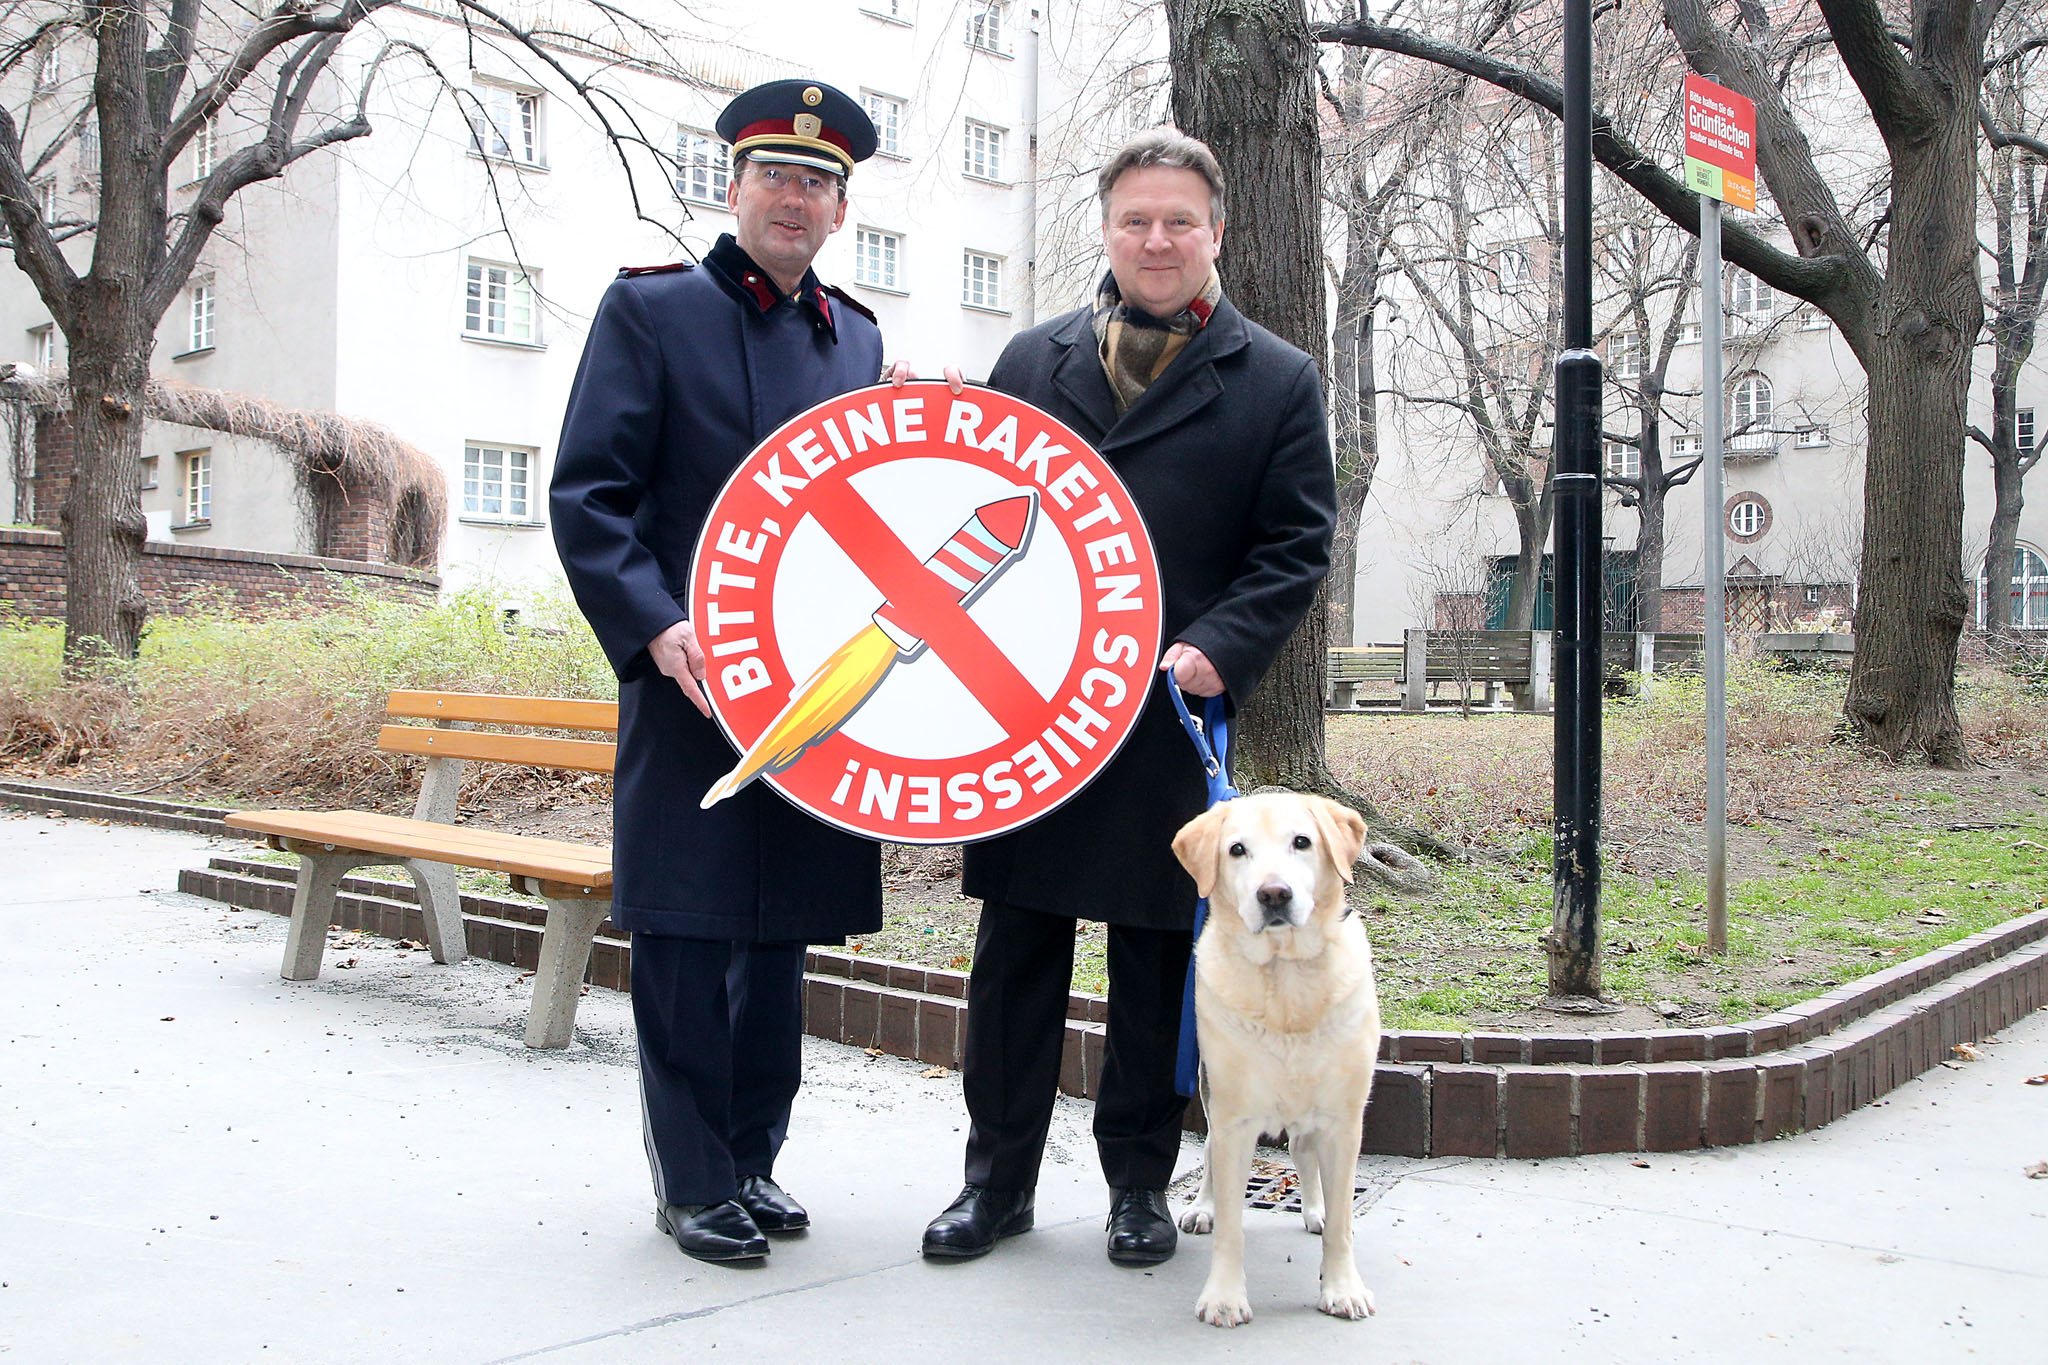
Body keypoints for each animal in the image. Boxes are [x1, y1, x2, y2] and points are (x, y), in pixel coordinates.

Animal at [1171, 794, 1376, 1326]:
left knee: (1304, 1152)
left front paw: (1342, 1287)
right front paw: (1224, 1296)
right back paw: (1203, 1207)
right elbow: (1231, 1226)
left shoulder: (1344, 1119)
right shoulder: (1234, 1118)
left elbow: (1343, 1222)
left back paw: (1315, 1209)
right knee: (1207, 1154)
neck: (1284, 979)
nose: (1274, 894)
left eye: (1301, 842)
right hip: (1210, 1091)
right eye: (1236, 849)